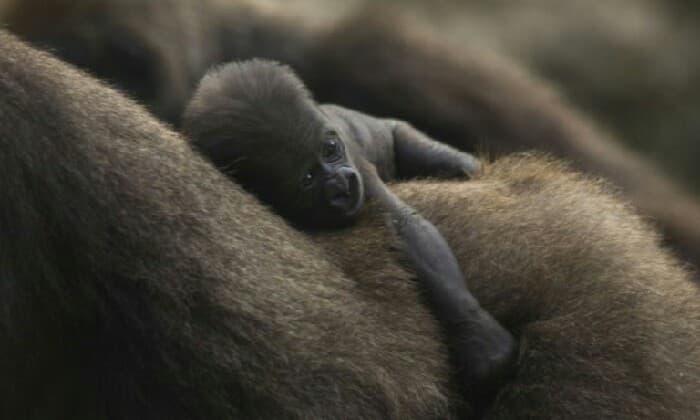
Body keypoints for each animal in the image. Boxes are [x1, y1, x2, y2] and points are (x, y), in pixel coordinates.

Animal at [183, 60, 516, 410]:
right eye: (307, 178)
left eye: (330, 150)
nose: (342, 184)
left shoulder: (356, 166)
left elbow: (406, 226)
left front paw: (480, 339)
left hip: (395, 132)